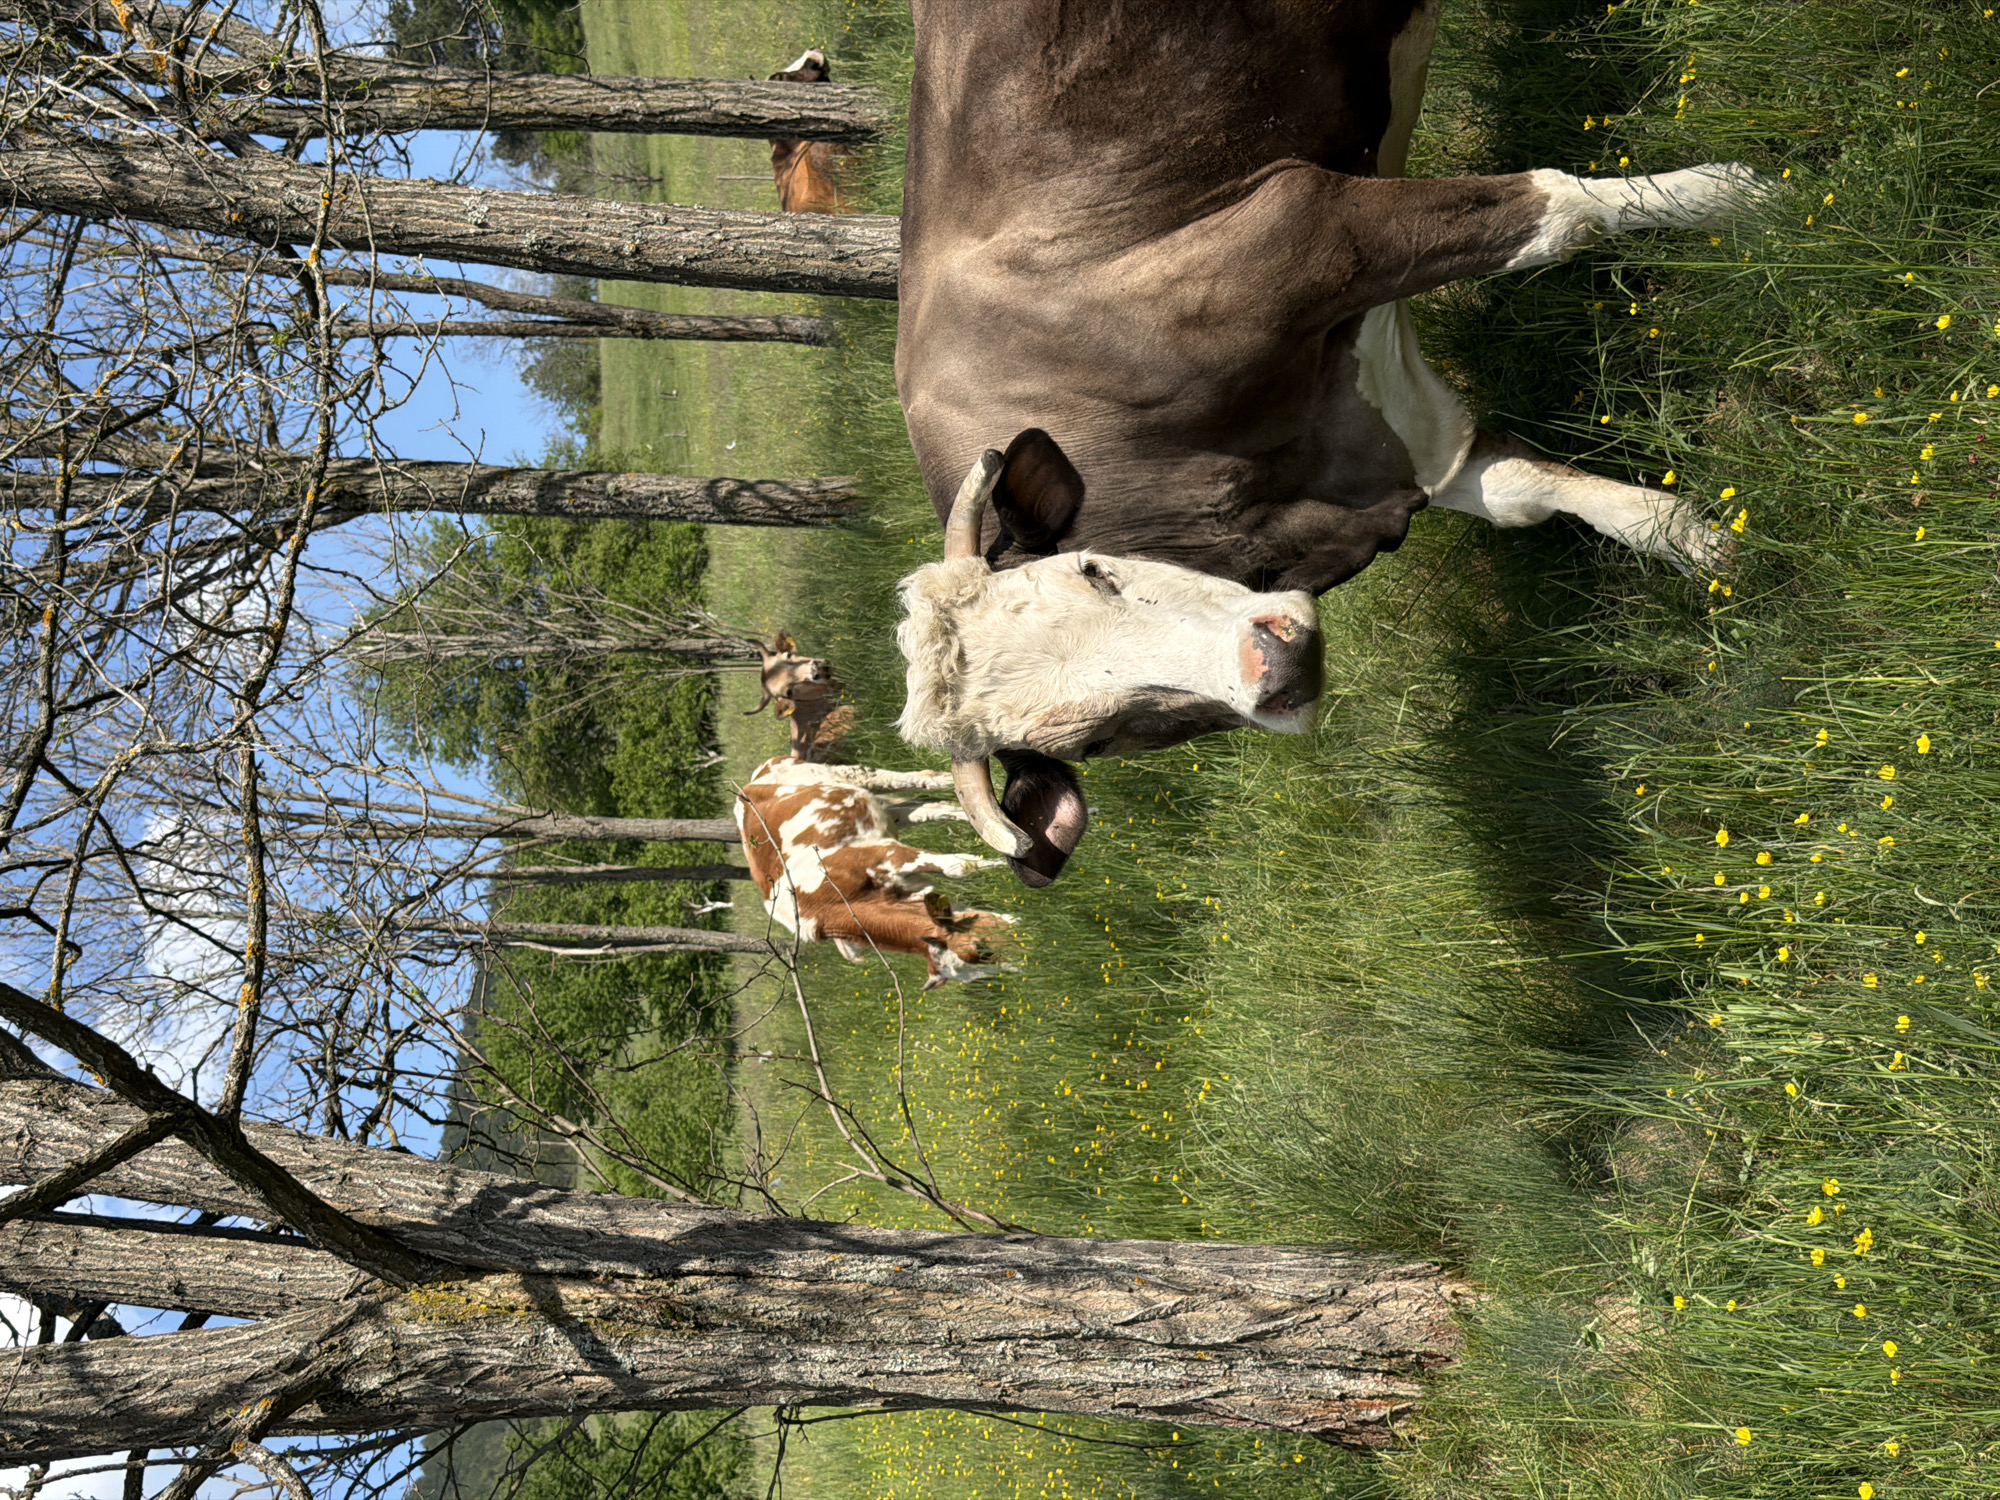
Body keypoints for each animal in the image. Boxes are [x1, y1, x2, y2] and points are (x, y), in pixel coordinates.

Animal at [735, 756, 1014, 988]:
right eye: (980, 952)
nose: (1018, 942)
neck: (826, 902)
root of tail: (751, 782)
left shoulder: (885, 853)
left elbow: (958, 868)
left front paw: (1005, 865)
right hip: (887, 812)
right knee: (928, 809)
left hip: (847, 775)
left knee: (891, 778)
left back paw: (944, 779)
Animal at [890, 0, 1770, 887]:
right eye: (1095, 741)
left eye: (1094, 571)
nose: (1273, 667)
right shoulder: (1378, 449)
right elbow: (1532, 491)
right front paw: (1707, 546)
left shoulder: (1305, 226)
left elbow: (1564, 212)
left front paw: (1757, 196)